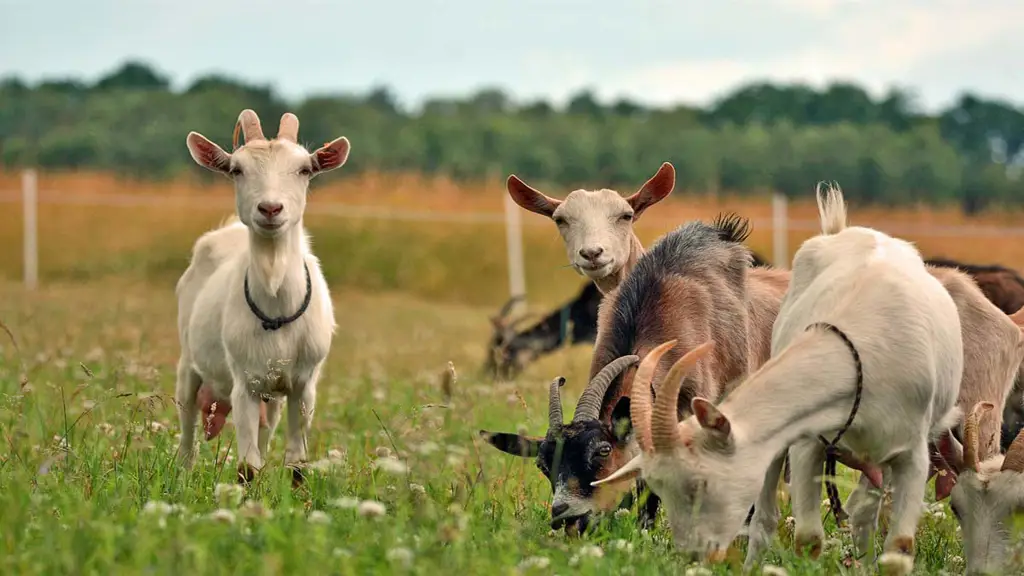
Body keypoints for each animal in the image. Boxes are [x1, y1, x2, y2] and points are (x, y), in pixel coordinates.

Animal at [176, 108, 352, 479]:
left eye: (304, 169)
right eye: (236, 169)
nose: (270, 209)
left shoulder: (303, 386)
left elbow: (296, 465)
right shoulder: (245, 383)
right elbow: (248, 467)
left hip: (274, 395)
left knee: (266, 430)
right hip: (189, 363)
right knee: (187, 423)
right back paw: (183, 470)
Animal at [598, 182, 962, 569]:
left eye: (699, 484)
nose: (695, 555)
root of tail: (839, 230)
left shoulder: (913, 455)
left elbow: (899, 548)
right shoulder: (808, 441)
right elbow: (808, 539)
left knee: (863, 511)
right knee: (768, 519)